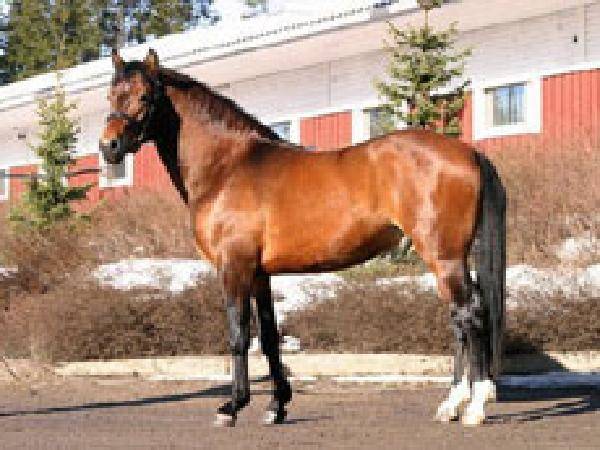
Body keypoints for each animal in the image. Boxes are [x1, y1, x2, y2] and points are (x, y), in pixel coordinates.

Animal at [100, 49, 506, 427]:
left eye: (145, 96)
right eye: (111, 95)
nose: (109, 147)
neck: (228, 166)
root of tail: (468, 151)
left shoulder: (234, 267)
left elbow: (238, 335)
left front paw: (231, 407)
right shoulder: (259, 274)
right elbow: (269, 338)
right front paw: (276, 407)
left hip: (443, 256)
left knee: (470, 313)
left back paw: (474, 407)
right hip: (447, 259)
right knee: (460, 318)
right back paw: (451, 405)